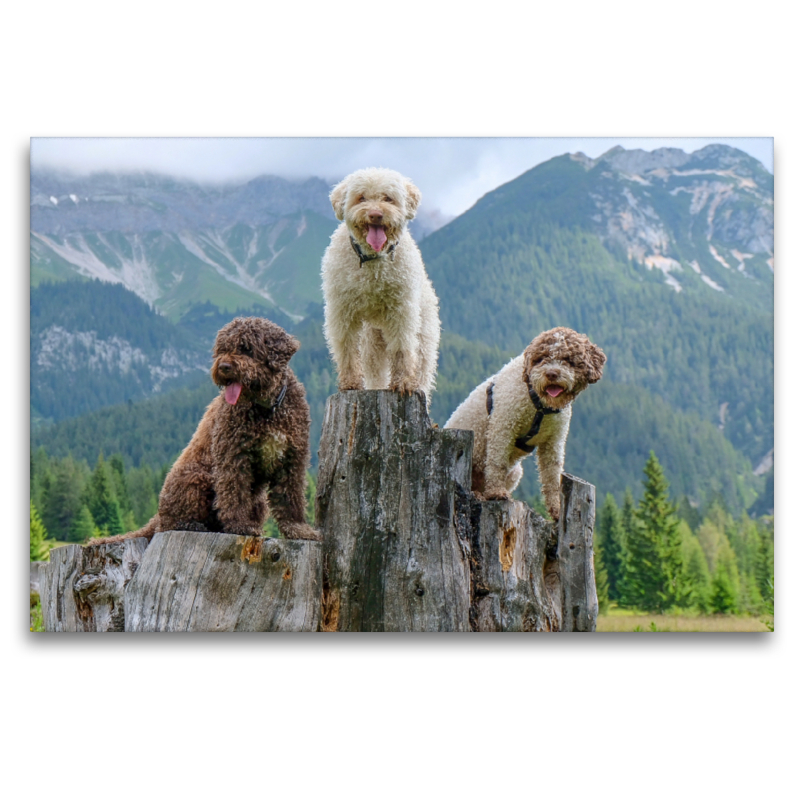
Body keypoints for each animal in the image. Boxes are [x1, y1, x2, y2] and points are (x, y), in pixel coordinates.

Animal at [100, 318, 322, 544]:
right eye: (222, 349)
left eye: (246, 348)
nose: (223, 367)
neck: (267, 408)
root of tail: (158, 514)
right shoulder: (233, 456)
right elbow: (234, 492)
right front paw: (239, 525)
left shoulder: (292, 458)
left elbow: (290, 497)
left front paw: (298, 529)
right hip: (197, 479)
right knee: (172, 522)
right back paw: (194, 525)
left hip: (256, 501)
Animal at [320, 166, 444, 404]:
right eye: (361, 198)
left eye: (388, 198)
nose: (375, 215)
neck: (373, 262)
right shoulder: (342, 310)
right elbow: (346, 347)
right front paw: (350, 383)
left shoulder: (402, 310)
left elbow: (402, 347)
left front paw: (403, 383)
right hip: (372, 342)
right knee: (375, 370)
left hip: (424, 336)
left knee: (422, 365)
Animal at [444, 328, 608, 520]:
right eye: (541, 358)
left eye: (568, 359)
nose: (551, 374)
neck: (540, 404)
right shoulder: (502, 426)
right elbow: (497, 462)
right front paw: (497, 492)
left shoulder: (553, 442)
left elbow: (552, 477)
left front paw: (557, 508)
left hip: (515, 473)